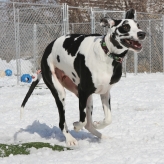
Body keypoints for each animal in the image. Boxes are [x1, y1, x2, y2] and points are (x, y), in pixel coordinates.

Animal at [20, 9, 146, 145]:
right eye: (125, 27)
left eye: (138, 25)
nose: (142, 33)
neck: (107, 54)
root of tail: (47, 50)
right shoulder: (83, 91)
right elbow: (82, 119)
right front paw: (76, 125)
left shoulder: (104, 93)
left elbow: (108, 119)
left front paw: (98, 124)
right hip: (61, 93)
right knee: (63, 122)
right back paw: (70, 139)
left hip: (87, 99)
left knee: (89, 125)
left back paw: (102, 136)